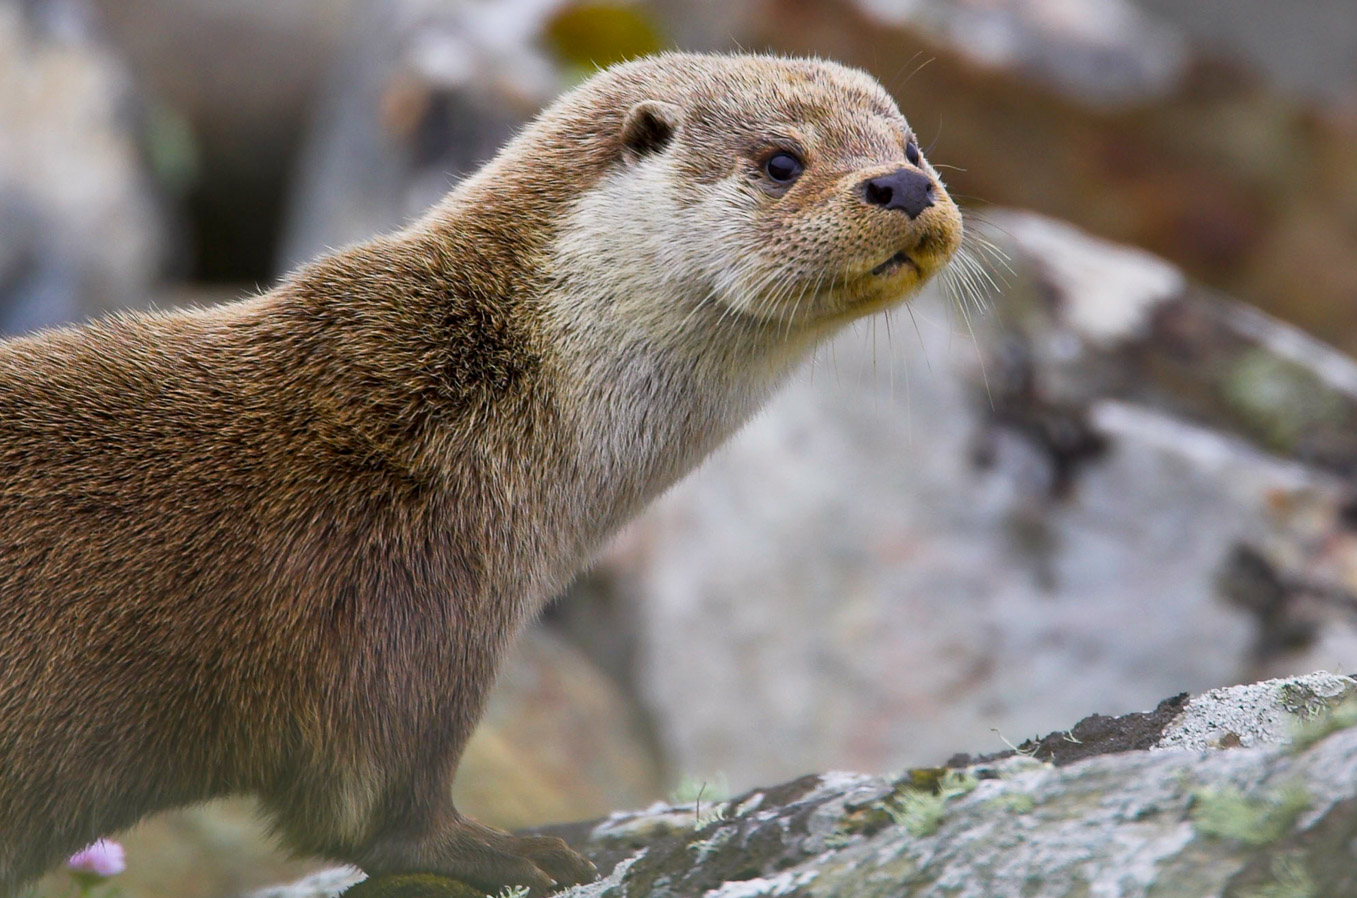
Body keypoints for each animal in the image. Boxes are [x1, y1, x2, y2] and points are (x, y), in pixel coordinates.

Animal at [0, 53, 962, 895]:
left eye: (912, 145)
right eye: (780, 160)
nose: (903, 185)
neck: (468, 397)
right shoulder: (406, 617)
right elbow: (372, 809)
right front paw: (507, 850)